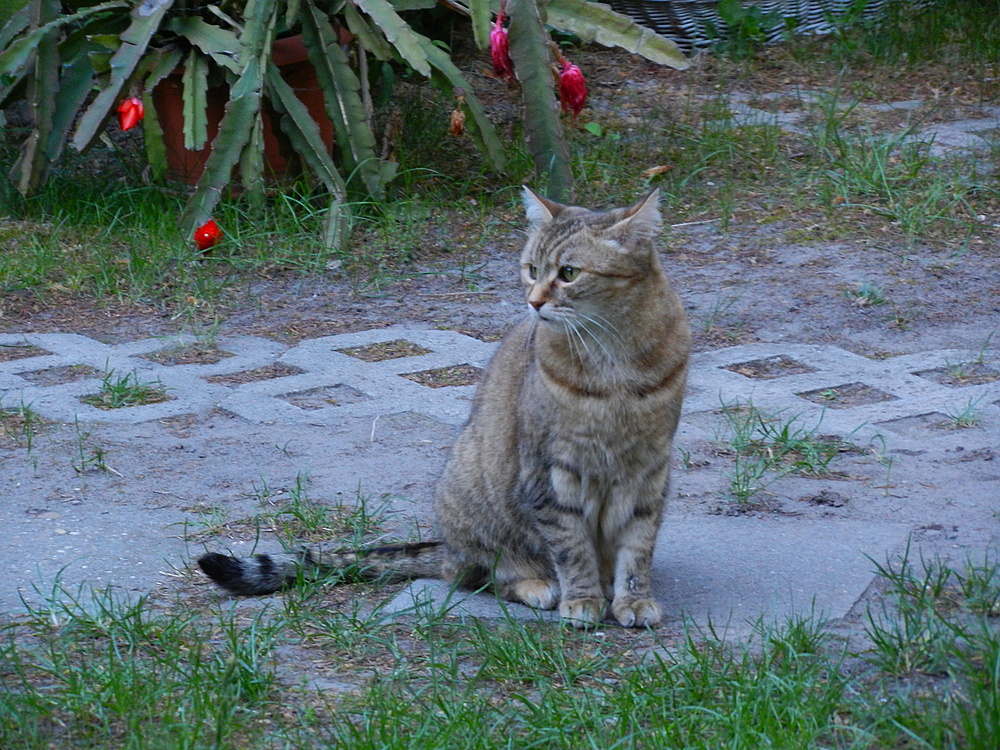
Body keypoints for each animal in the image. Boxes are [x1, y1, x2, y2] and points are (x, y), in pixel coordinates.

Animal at [199, 188, 692, 628]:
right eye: (531, 269)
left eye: (569, 272)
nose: (533, 301)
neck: (614, 364)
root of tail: (445, 546)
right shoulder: (551, 471)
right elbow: (572, 548)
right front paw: (583, 599)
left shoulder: (648, 470)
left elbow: (637, 548)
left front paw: (633, 600)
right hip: (473, 490)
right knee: (479, 572)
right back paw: (538, 584)